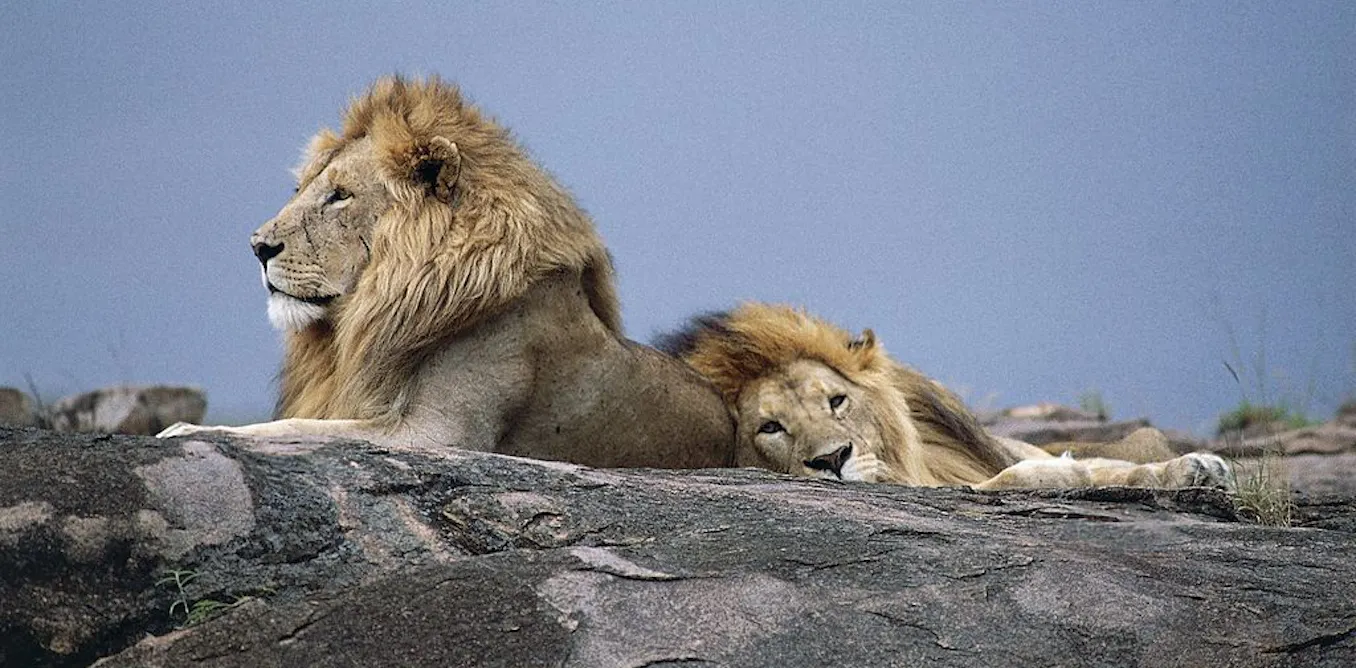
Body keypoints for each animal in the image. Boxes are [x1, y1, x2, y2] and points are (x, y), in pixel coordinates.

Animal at [158, 75, 734, 469]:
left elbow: (291, 428)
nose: (258, 247)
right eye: (300, 189)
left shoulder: (439, 436)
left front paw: (181, 430)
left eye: (340, 195)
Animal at [656, 303, 1234, 490]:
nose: (832, 460)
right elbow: (1013, 480)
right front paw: (1062, 474)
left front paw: (1198, 467)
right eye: (770, 428)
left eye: (836, 401)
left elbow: (1114, 468)